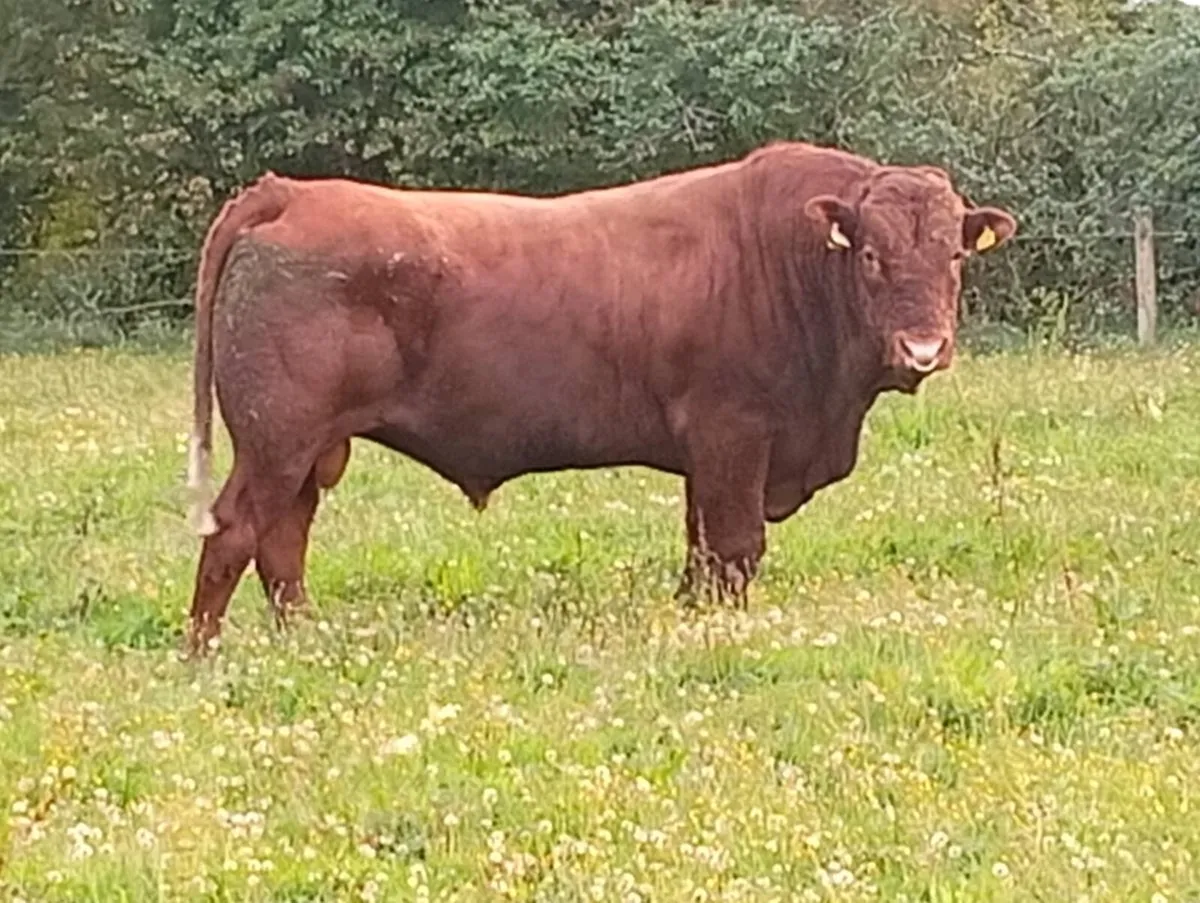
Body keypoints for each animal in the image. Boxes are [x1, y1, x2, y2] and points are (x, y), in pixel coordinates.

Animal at [182, 140, 1016, 654]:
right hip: (276, 440)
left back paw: (304, 638)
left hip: (309, 450)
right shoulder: (734, 435)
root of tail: (289, 192)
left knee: (283, 542)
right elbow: (736, 548)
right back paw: (203, 653)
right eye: (871, 255)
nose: (923, 349)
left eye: (952, 256)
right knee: (236, 535)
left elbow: (701, 552)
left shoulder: (707, 461)